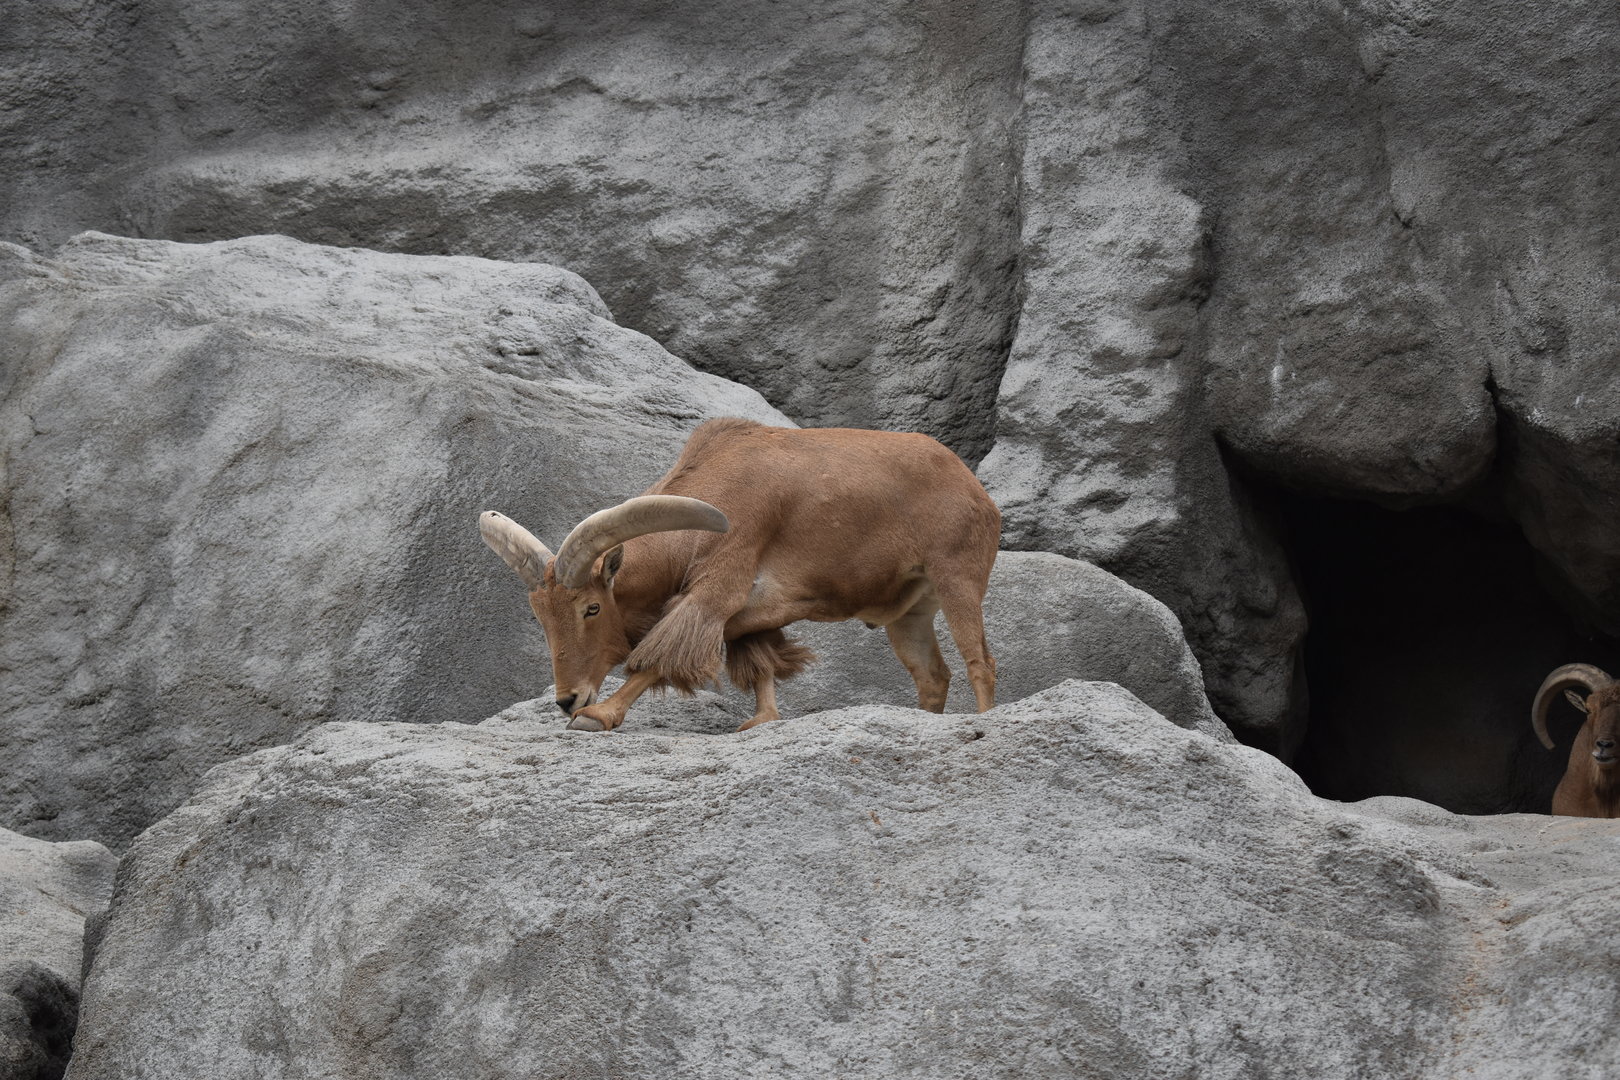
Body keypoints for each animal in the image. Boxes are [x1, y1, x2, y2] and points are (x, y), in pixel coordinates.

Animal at [479, 418, 1000, 731]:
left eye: (591, 608)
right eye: (541, 618)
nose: (568, 699)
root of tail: (973, 486)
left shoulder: (719, 585)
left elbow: (657, 657)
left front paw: (597, 714)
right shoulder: (752, 615)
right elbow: (761, 663)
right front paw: (763, 718)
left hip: (957, 575)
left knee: (980, 662)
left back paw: (983, 721)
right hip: (909, 611)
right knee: (932, 675)